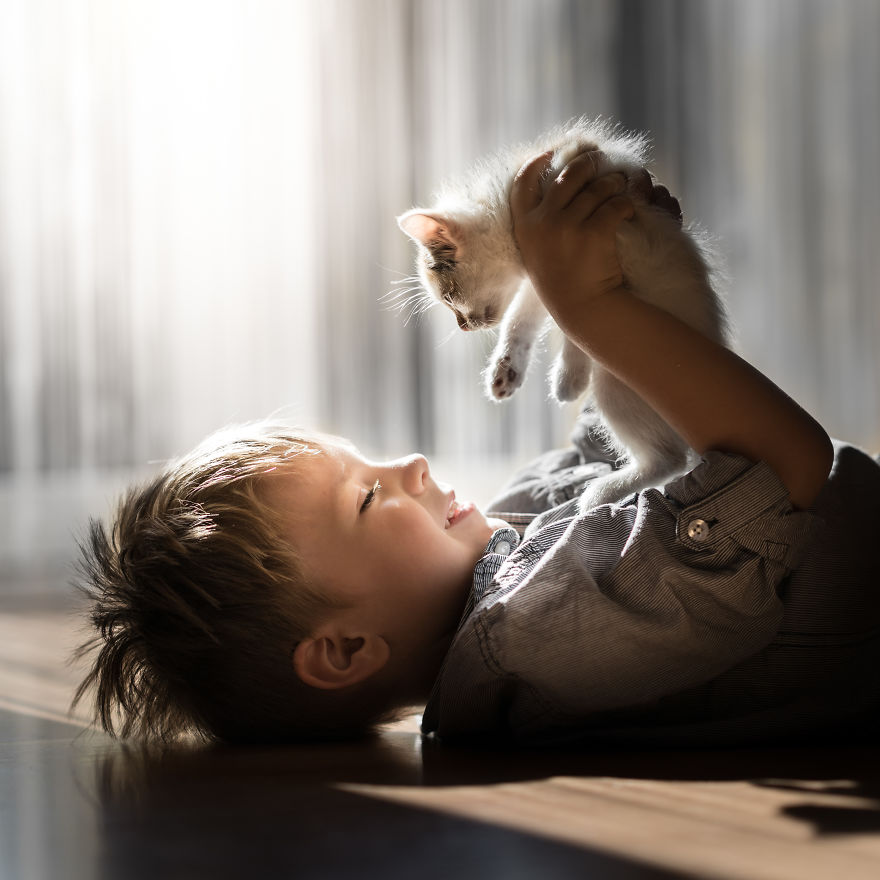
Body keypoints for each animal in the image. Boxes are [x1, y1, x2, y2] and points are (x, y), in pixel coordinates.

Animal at [398, 115, 728, 508]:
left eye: (449, 298)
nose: (464, 325)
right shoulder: (542, 275)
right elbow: (526, 319)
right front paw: (506, 371)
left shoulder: (604, 250)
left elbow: (572, 319)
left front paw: (568, 379)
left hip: (617, 383)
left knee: (670, 458)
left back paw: (600, 493)